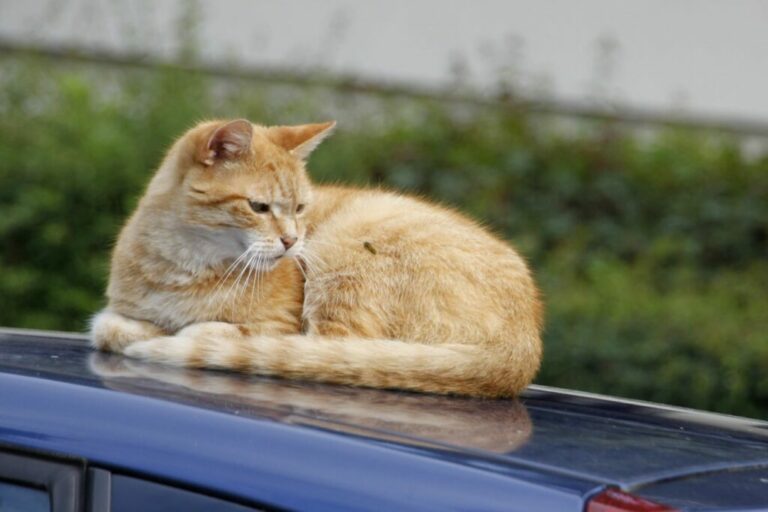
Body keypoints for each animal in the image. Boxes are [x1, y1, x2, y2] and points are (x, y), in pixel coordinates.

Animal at [90, 119, 544, 396]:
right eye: (259, 207)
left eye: (301, 208)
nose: (292, 242)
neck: (182, 266)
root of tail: (523, 345)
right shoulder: (116, 312)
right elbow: (110, 327)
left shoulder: (280, 322)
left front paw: (185, 333)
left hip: (342, 251)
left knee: (329, 350)